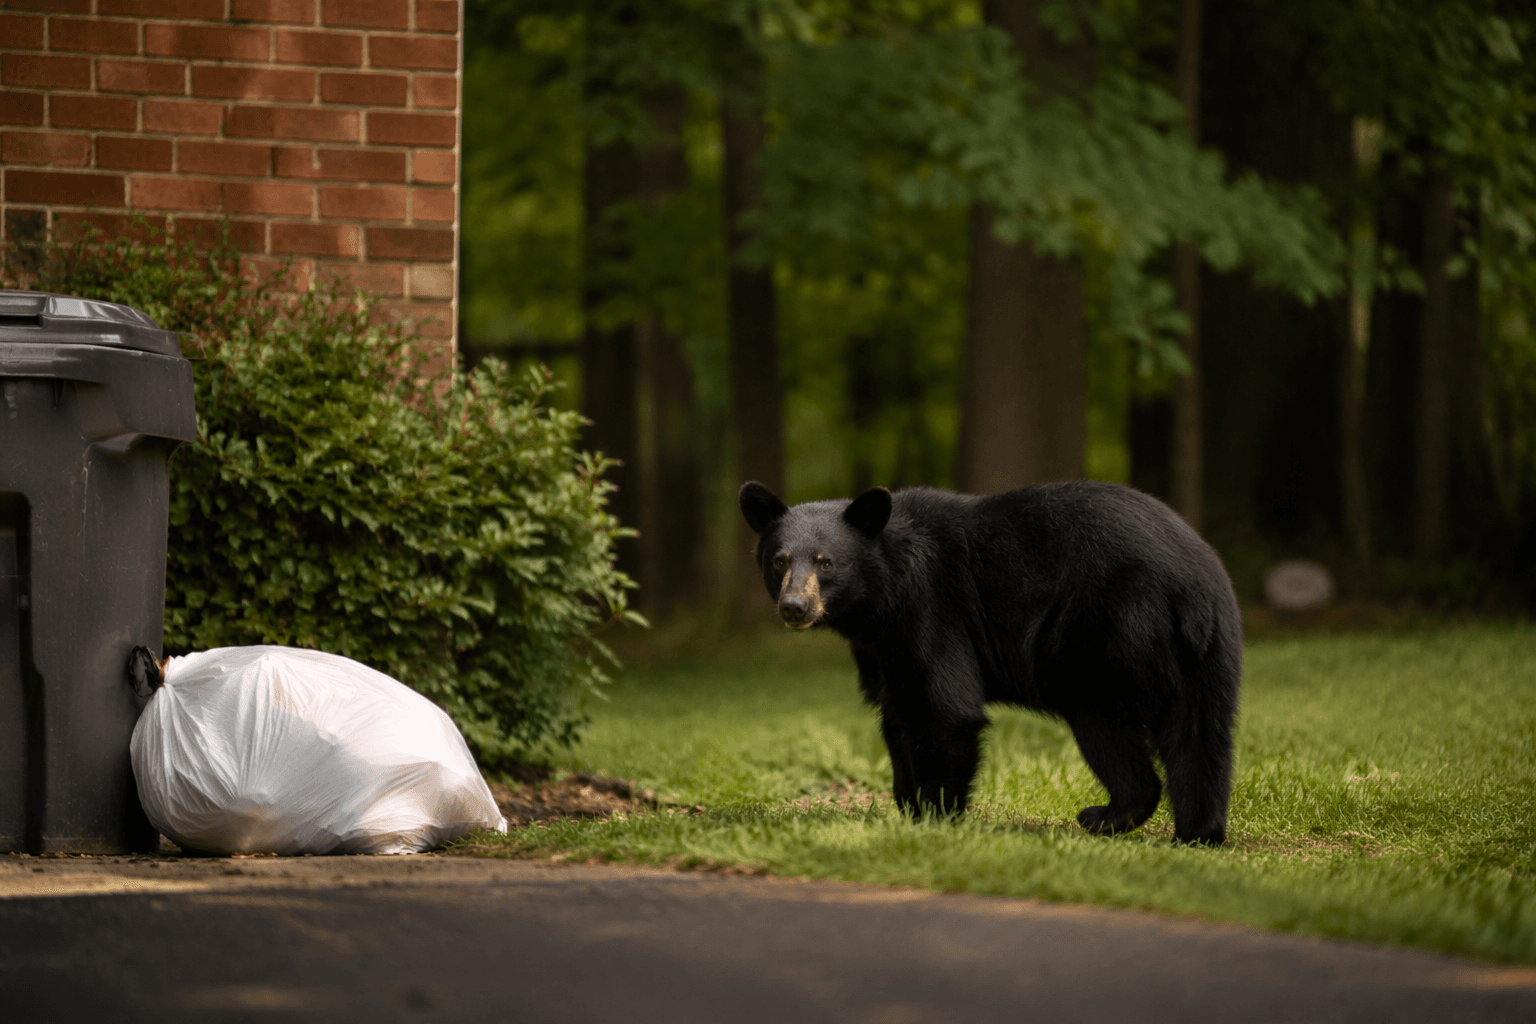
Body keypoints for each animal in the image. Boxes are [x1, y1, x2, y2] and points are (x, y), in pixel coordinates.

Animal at [738, 479, 1242, 845]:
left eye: (825, 562)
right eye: (779, 560)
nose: (794, 607)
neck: (880, 599)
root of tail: (1193, 584)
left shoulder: (930, 610)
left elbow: (946, 708)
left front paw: (936, 817)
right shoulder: (881, 650)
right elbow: (899, 715)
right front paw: (908, 806)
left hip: (1108, 633)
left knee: (1110, 725)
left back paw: (1103, 816)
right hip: (1209, 653)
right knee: (1201, 734)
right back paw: (1193, 833)